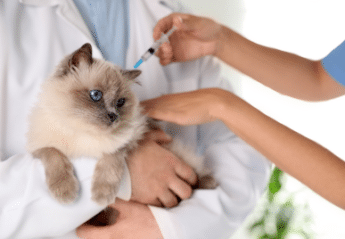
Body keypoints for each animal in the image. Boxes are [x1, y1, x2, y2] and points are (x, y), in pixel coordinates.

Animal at [26, 42, 215, 214]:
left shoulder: (126, 143)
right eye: (96, 95)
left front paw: (101, 196)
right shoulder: (39, 148)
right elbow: (55, 156)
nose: (113, 116)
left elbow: (109, 161)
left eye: (120, 102)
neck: (84, 131)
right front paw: (66, 192)